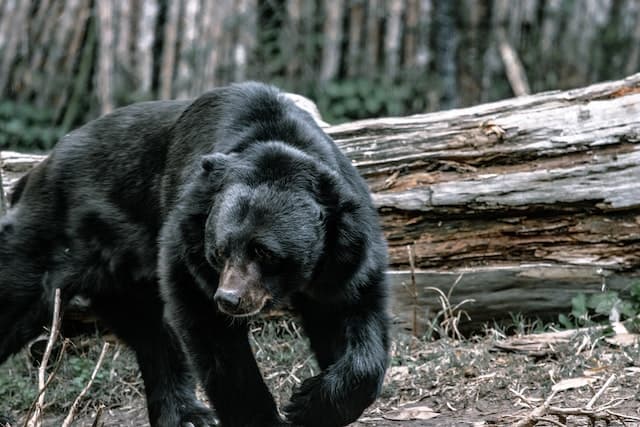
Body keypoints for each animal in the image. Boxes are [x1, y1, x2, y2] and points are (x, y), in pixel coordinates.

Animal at [0, 82, 390, 427]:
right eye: (219, 251)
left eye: (264, 252)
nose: (230, 299)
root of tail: (36, 171)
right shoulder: (187, 243)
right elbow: (214, 337)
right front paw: (267, 417)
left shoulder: (344, 254)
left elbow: (352, 316)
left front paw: (310, 403)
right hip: (51, 238)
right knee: (17, 296)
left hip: (121, 274)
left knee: (152, 334)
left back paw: (186, 415)